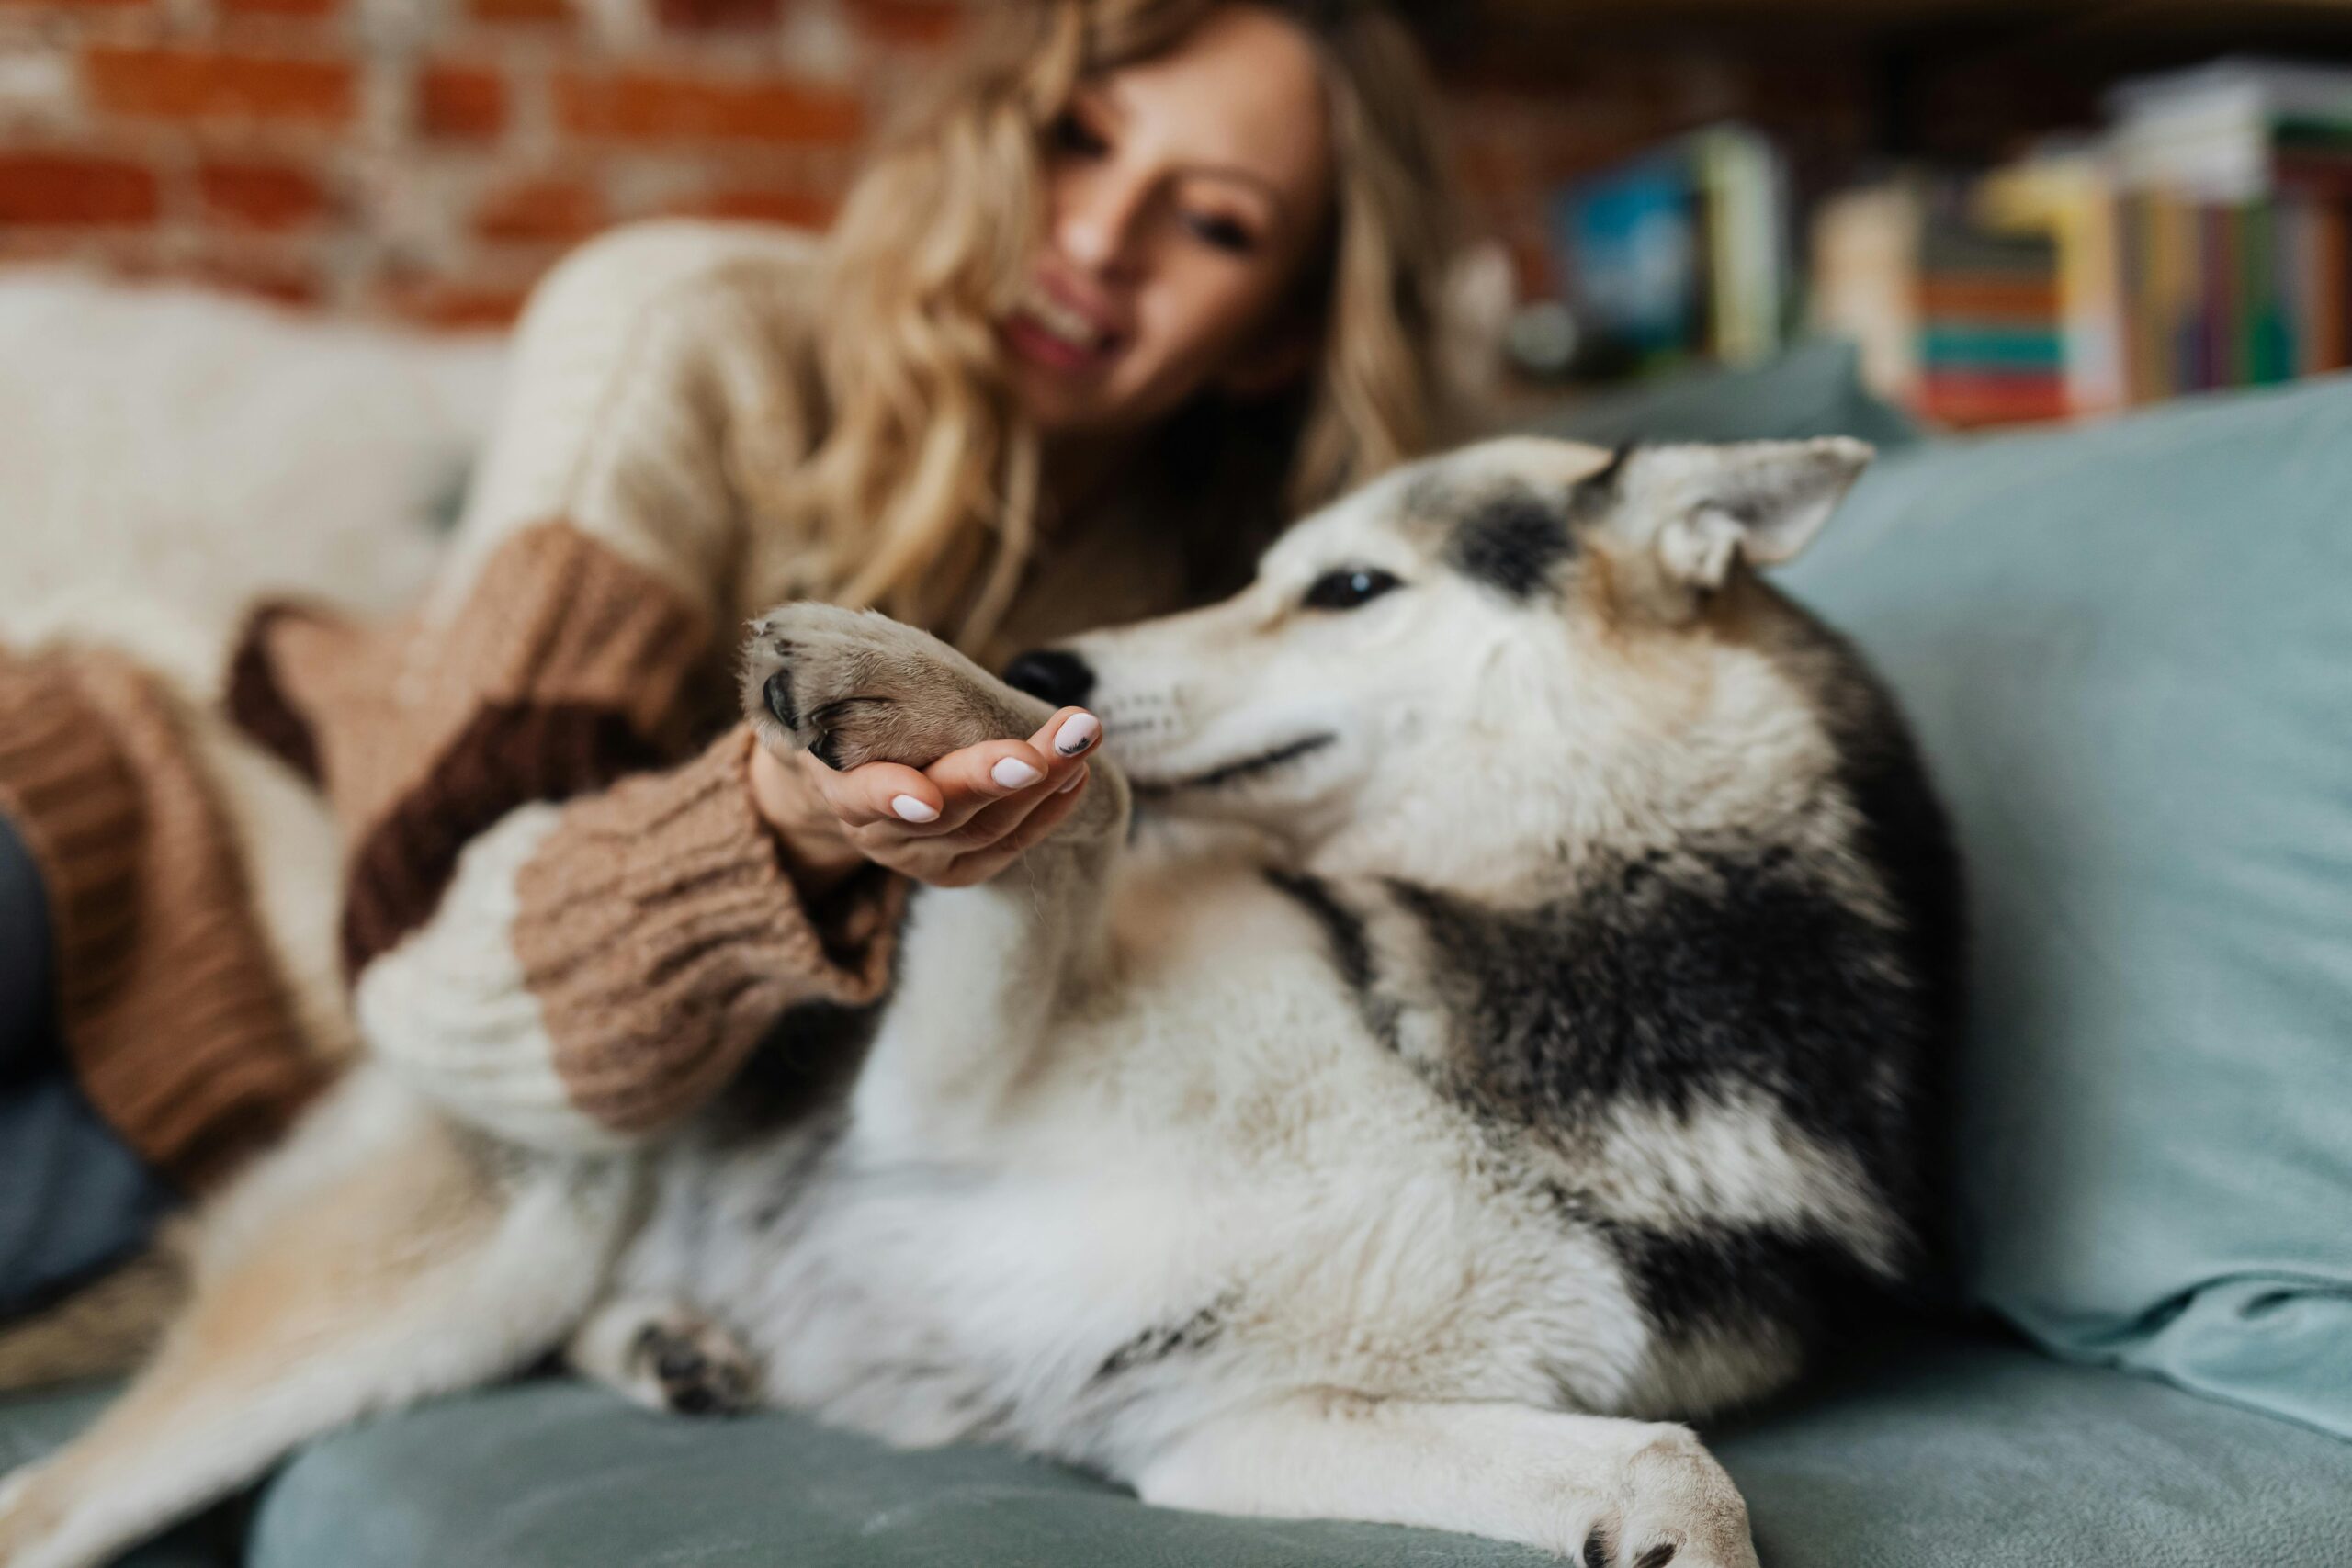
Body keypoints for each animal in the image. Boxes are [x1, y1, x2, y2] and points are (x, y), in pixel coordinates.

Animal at [0, 439, 1966, 1568]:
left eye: (1345, 587)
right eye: (1268, 567)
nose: (1043, 653)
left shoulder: (1224, 1417)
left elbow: (1683, 1471)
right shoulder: (941, 1115)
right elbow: (1086, 796)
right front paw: (918, 684)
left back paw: (677, 1347)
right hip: (468, 1262)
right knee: (49, 1503)